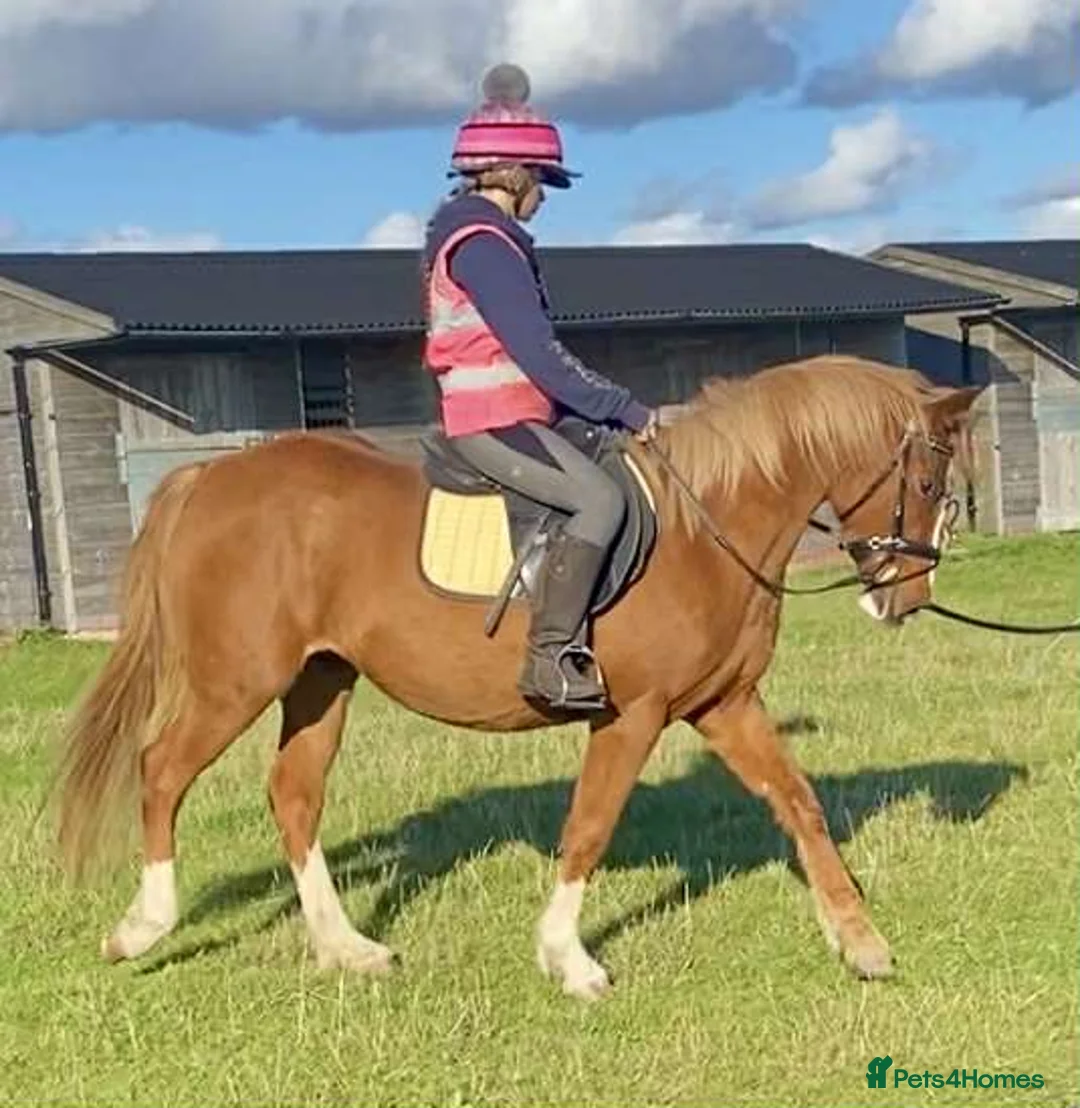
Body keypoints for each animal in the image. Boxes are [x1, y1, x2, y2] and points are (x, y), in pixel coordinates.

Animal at [52, 354, 980, 1001]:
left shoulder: (723, 704)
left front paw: (861, 943)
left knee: (293, 795)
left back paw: (346, 948)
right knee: (162, 771)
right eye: (927, 478)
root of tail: (209, 475)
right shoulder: (633, 714)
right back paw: (141, 929)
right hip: (234, 680)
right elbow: (590, 827)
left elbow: (798, 802)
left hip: (321, 681)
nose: (908, 599)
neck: (706, 524)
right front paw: (571, 961)